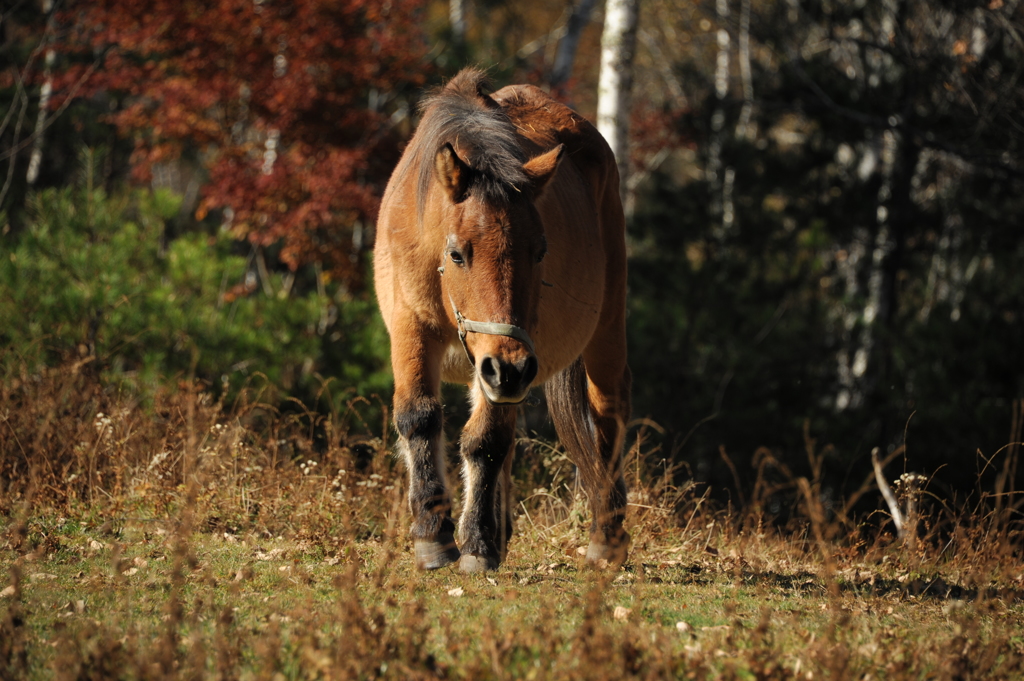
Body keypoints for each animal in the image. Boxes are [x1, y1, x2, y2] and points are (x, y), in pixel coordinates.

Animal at [376, 69, 630, 569]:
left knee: (607, 418)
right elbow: (419, 416)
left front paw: (473, 541)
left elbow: (485, 440)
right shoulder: (412, 330)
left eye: (540, 251)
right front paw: (434, 535)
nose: (510, 368)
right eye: (458, 253)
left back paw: (605, 539)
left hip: (600, 337)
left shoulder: (504, 358)